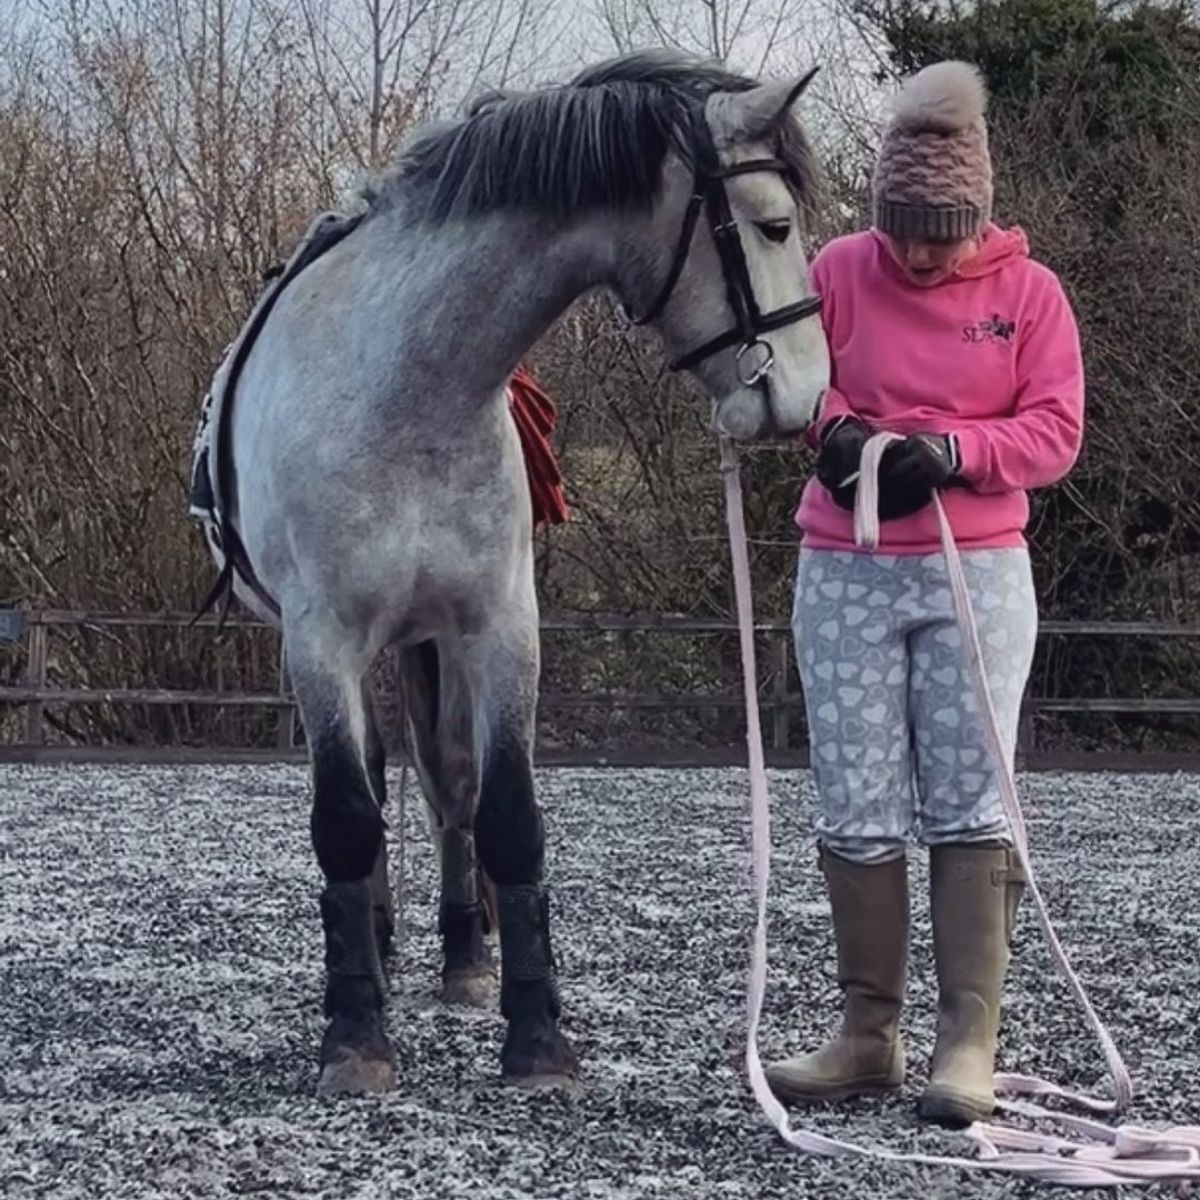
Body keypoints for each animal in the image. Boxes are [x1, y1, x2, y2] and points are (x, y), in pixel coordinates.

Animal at [196, 54, 830, 1099]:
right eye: (774, 225)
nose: (809, 397)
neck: (408, 389)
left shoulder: (499, 629)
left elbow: (506, 817)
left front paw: (535, 1035)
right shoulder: (320, 643)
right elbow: (346, 820)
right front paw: (355, 1035)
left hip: (432, 641)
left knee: (445, 783)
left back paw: (463, 955)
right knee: (378, 789)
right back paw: (373, 953)